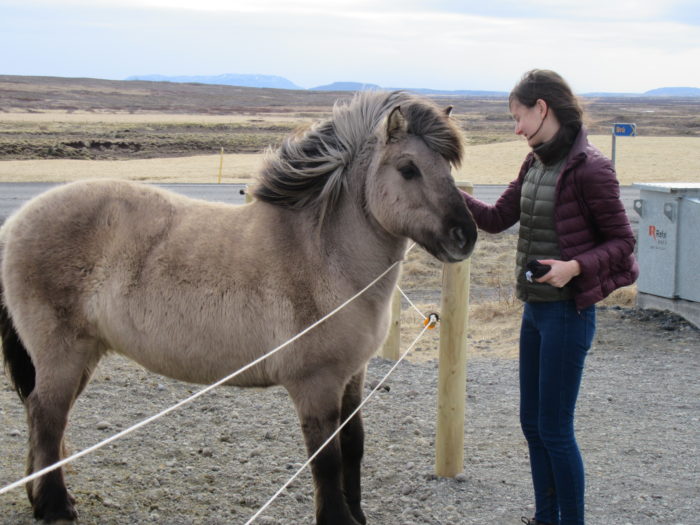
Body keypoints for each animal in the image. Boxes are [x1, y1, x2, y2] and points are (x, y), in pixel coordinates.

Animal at [0, 90, 477, 524]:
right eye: (409, 169)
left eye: (448, 168)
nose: (465, 236)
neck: (324, 253)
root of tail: (18, 220)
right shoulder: (316, 384)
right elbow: (327, 459)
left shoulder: (352, 377)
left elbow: (354, 446)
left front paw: (357, 515)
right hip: (63, 354)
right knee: (47, 417)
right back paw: (56, 508)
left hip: (82, 356)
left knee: (44, 417)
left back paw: (41, 498)